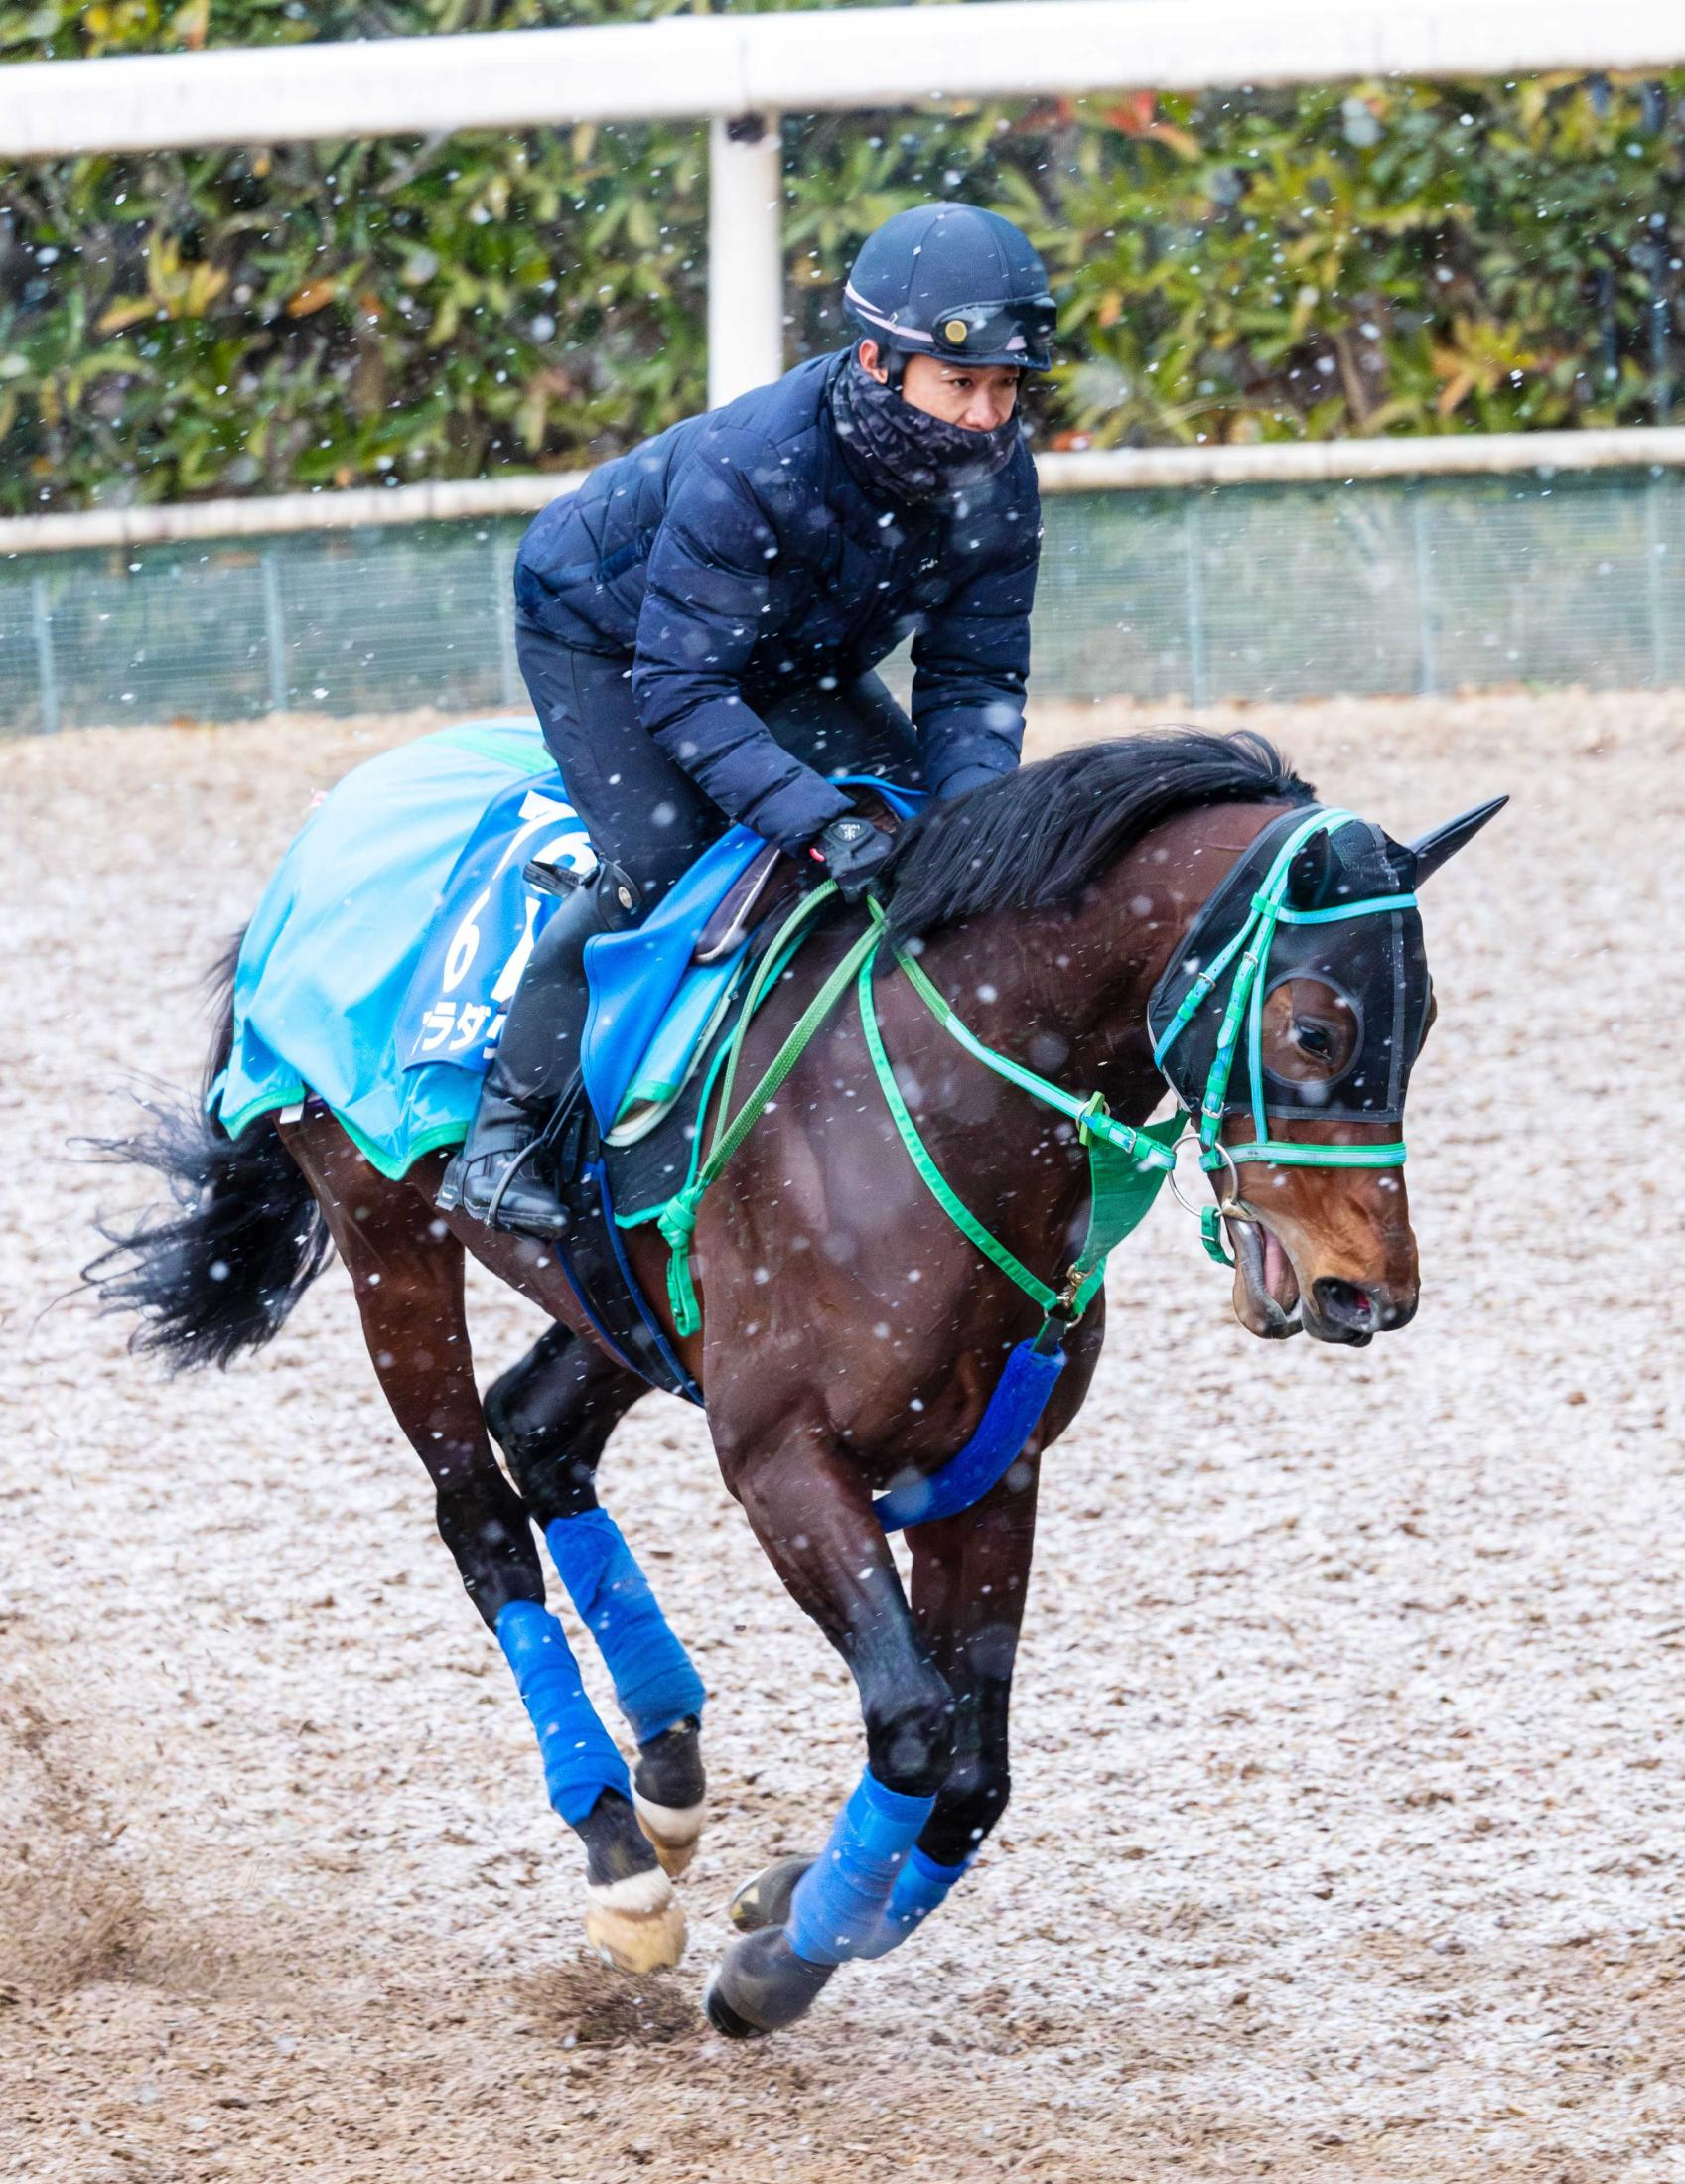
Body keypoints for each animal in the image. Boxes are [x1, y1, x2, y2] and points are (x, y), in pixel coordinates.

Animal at [88, 725, 1503, 2035]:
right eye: (1314, 1026)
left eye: (1426, 1021)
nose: (1368, 1289)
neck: (946, 1105)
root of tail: (331, 824)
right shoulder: (781, 1459)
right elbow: (916, 1720)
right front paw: (777, 1964)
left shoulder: (988, 1467)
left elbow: (975, 1773)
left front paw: (786, 1899)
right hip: (389, 1239)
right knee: (479, 1513)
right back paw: (616, 1849)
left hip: (619, 1303)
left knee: (538, 1432)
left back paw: (667, 1766)